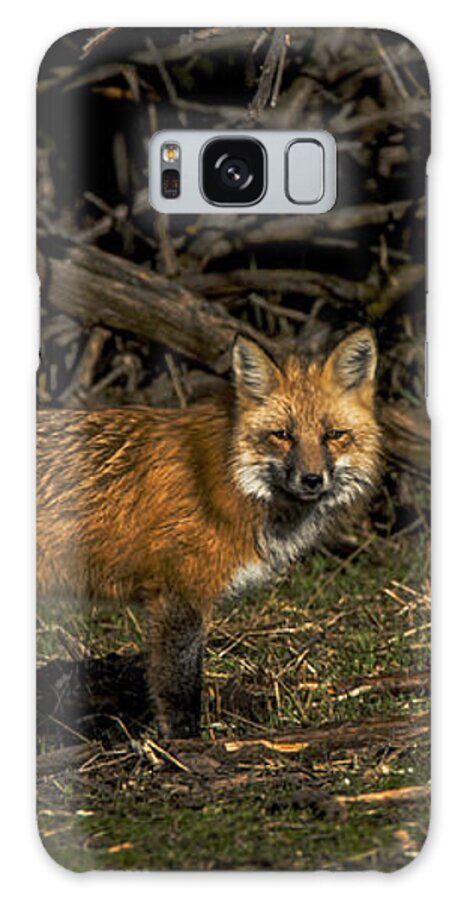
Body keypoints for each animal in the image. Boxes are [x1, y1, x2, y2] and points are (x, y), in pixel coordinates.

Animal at [37, 328, 381, 738]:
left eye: (334, 435)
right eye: (282, 435)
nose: (312, 479)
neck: (229, 477)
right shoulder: (178, 596)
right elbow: (179, 688)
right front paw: (185, 744)